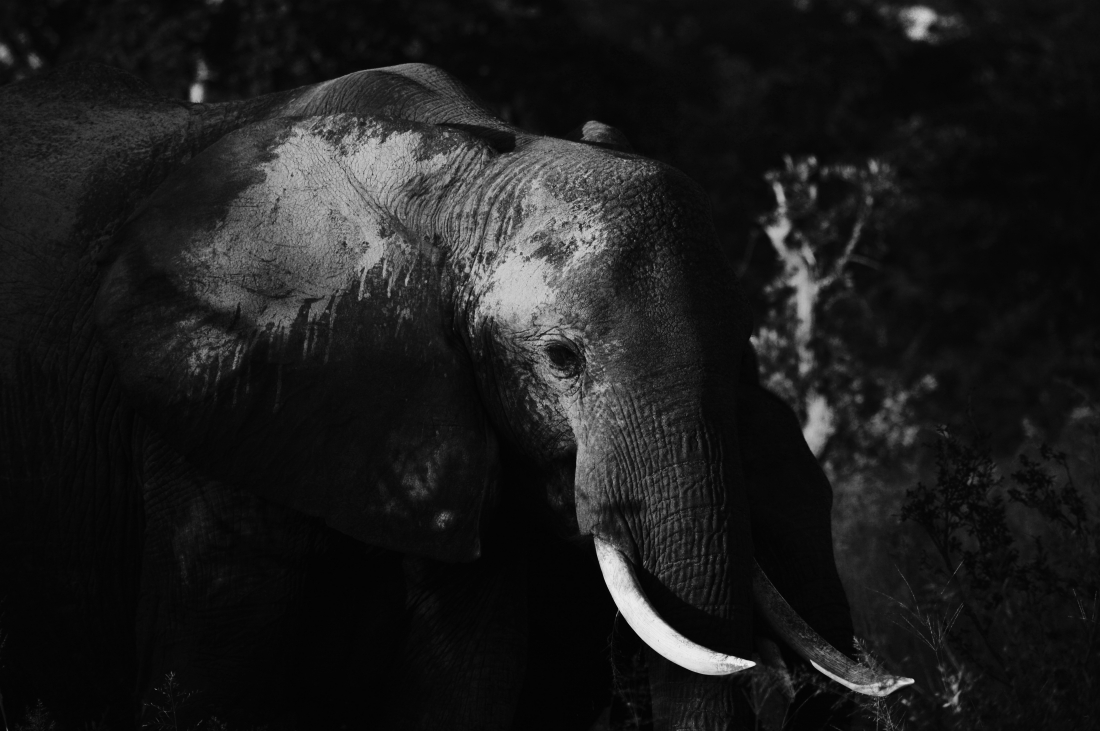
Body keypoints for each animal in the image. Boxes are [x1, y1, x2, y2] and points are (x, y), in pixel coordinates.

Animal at [0, 62, 911, 730]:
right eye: (561, 359)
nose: (897, 685)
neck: (459, 169)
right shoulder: (217, 402)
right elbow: (208, 671)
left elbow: (471, 670)